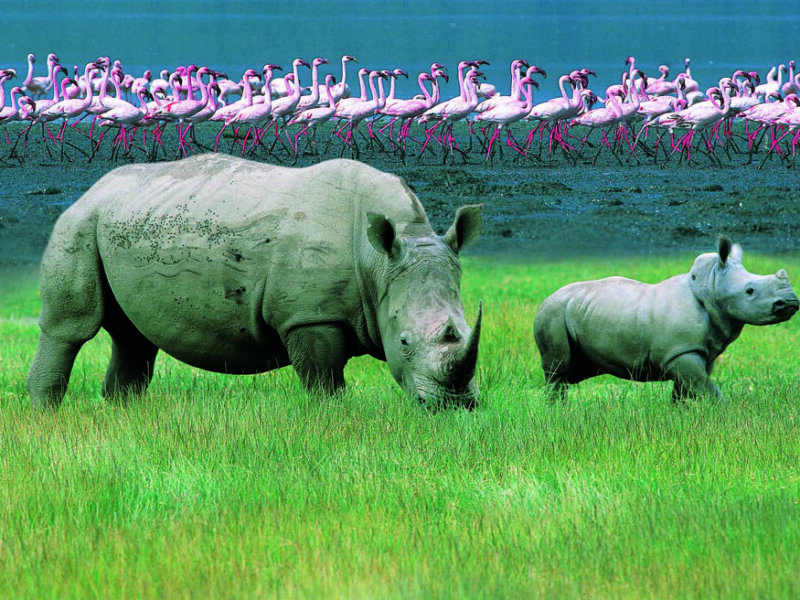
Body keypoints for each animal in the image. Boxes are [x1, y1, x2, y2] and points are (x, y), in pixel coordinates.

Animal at [27, 154, 483, 409]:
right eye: (403, 341)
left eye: (464, 329)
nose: (453, 406)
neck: (380, 261)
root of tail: (92, 188)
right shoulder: (309, 316)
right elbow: (325, 383)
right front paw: (334, 421)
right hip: (79, 223)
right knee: (71, 329)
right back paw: (45, 417)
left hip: (125, 222)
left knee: (134, 338)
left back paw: (123, 417)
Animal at [533, 237, 798, 401]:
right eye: (749, 291)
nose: (791, 302)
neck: (711, 285)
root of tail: (548, 298)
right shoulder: (680, 351)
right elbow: (706, 388)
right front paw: (723, 415)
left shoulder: (693, 352)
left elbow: (687, 390)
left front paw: (679, 417)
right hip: (552, 313)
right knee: (558, 371)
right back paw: (557, 413)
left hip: (571, 309)